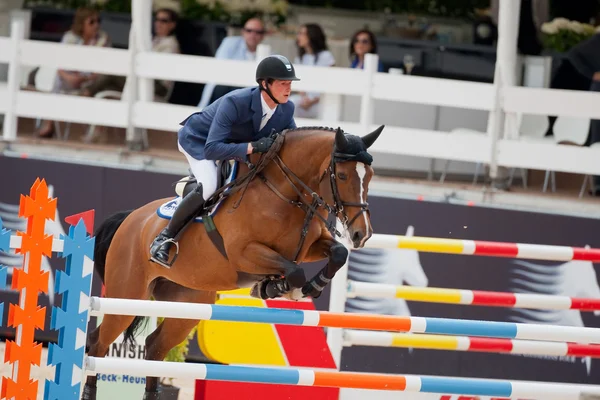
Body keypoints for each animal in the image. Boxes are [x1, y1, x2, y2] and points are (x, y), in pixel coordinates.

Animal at [82, 124, 384, 396]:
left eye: (369, 175)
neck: (285, 194)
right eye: (342, 175)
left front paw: (305, 286)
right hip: (127, 295)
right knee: (98, 344)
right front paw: (279, 288)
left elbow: (338, 254)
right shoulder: (244, 254)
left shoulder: (309, 247)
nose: (361, 234)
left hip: (189, 302)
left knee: (155, 346)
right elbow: (294, 271)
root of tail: (130, 219)